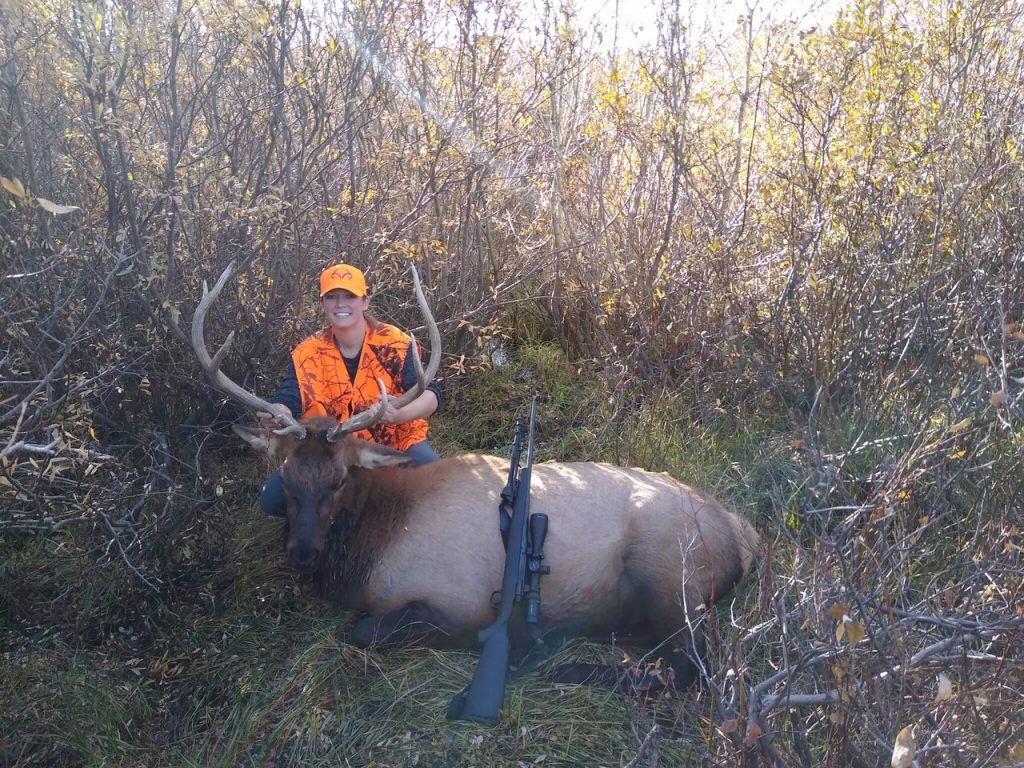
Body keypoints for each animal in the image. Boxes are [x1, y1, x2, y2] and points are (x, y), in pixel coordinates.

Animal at [192, 266, 761, 692]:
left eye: (339, 480)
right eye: (286, 477)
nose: (303, 553)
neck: (372, 552)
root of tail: (743, 534)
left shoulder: (458, 602)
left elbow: (362, 630)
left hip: (670, 572)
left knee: (691, 669)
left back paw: (565, 664)